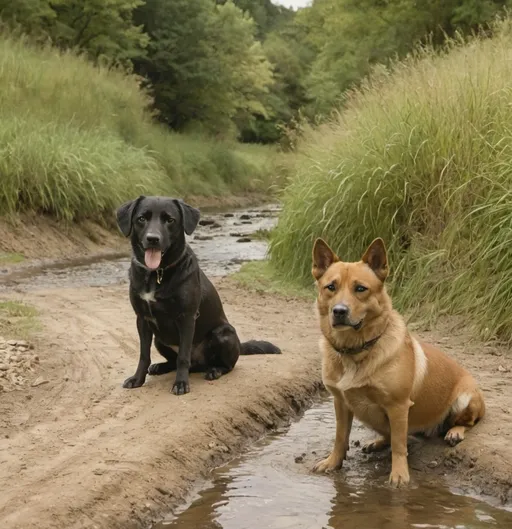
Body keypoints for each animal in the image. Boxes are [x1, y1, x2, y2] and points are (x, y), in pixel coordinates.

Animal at [116, 196, 282, 394]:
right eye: (141, 218)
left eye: (170, 220)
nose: (153, 239)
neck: (157, 273)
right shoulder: (142, 318)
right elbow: (143, 355)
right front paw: (138, 379)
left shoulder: (187, 317)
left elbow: (183, 357)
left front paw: (181, 384)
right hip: (159, 339)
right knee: (173, 360)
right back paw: (160, 366)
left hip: (224, 333)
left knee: (226, 365)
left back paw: (215, 370)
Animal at [312, 237, 484, 484]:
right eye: (331, 287)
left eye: (360, 289)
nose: (339, 311)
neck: (356, 351)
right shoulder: (340, 403)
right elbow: (340, 437)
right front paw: (333, 462)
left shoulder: (398, 407)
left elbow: (399, 445)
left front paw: (400, 475)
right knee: (389, 434)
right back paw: (376, 443)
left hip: (463, 399)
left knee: (466, 422)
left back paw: (455, 431)